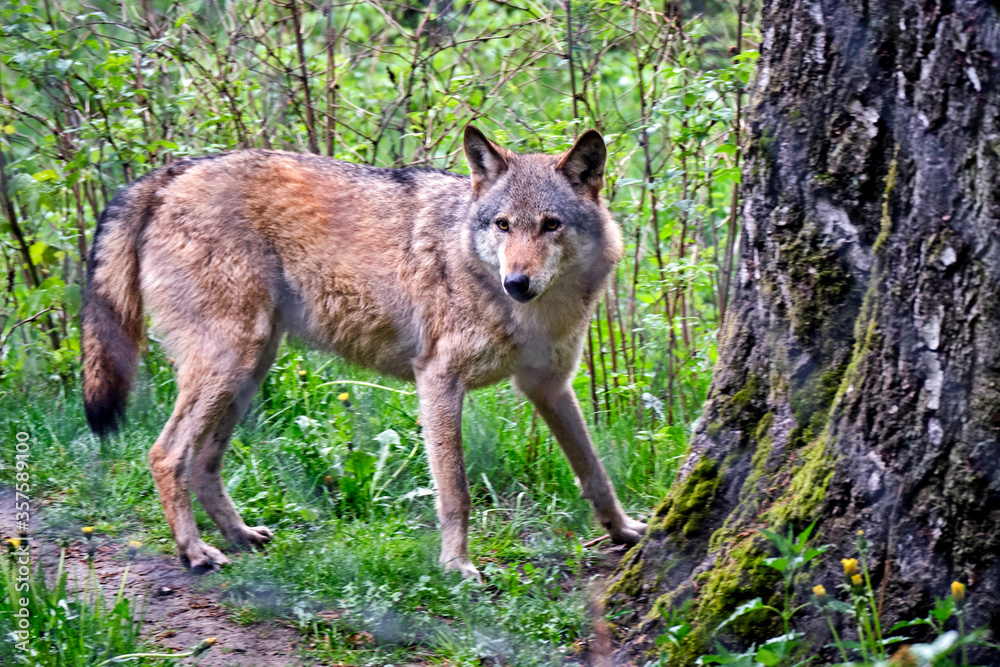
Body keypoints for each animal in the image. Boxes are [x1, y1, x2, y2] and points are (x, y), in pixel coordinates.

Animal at [81, 126, 646, 577]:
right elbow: (456, 492)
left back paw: (240, 536)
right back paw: (195, 551)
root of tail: (171, 173)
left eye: (550, 224)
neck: (531, 313)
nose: (517, 283)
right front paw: (457, 566)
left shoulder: (548, 386)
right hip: (230, 364)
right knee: (165, 454)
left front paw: (626, 532)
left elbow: (595, 472)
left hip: (249, 370)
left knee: (202, 463)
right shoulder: (438, 381)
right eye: (502, 225)